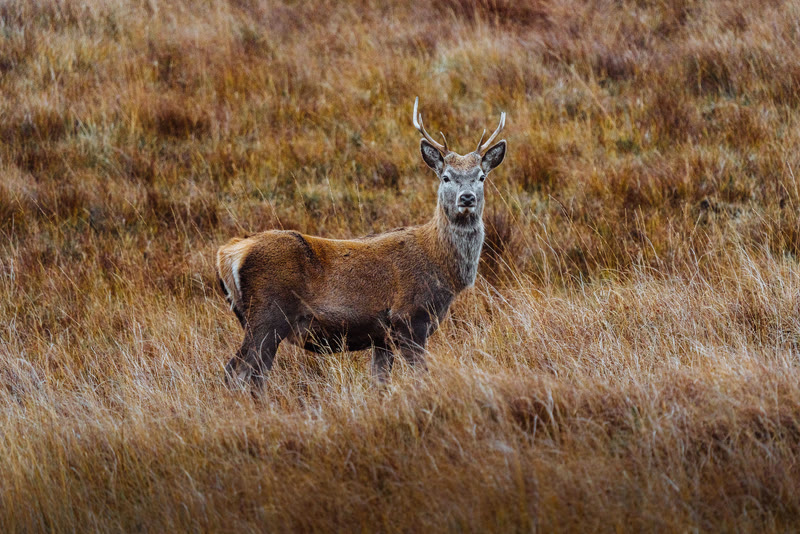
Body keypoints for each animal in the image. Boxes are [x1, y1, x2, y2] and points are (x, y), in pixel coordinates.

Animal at [216, 97, 507, 386]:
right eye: (446, 176)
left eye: (481, 176)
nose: (467, 198)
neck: (441, 270)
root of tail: (228, 254)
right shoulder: (410, 318)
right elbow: (420, 375)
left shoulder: (382, 336)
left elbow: (379, 382)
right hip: (267, 314)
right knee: (239, 371)